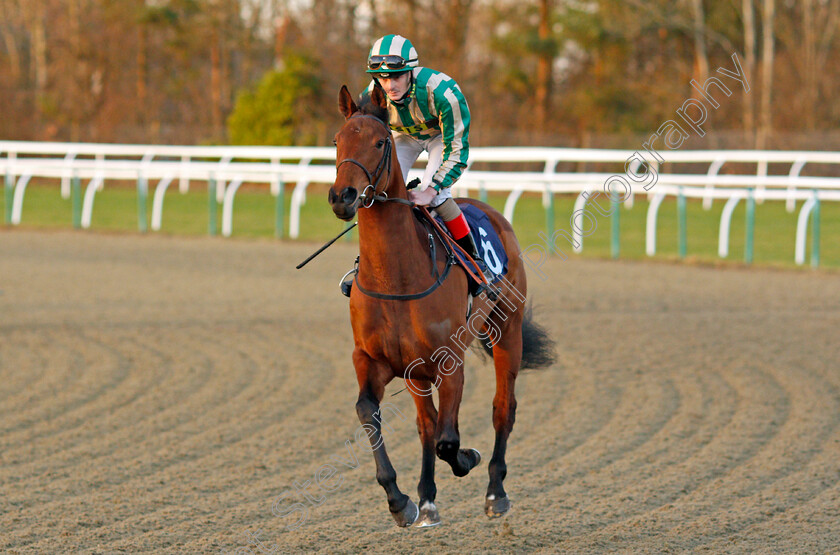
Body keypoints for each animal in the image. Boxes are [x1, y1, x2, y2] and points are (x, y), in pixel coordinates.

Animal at [328, 84, 556, 528]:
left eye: (380, 142)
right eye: (337, 141)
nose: (342, 197)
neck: (396, 276)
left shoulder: (450, 361)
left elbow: (449, 441)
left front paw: (469, 458)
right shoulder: (372, 359)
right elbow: (372, 412)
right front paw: (403, 501)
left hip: (507, 330)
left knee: (503, 409)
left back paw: (496, 491)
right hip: (416, 372)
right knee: (425, 424)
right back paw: (428, 498)